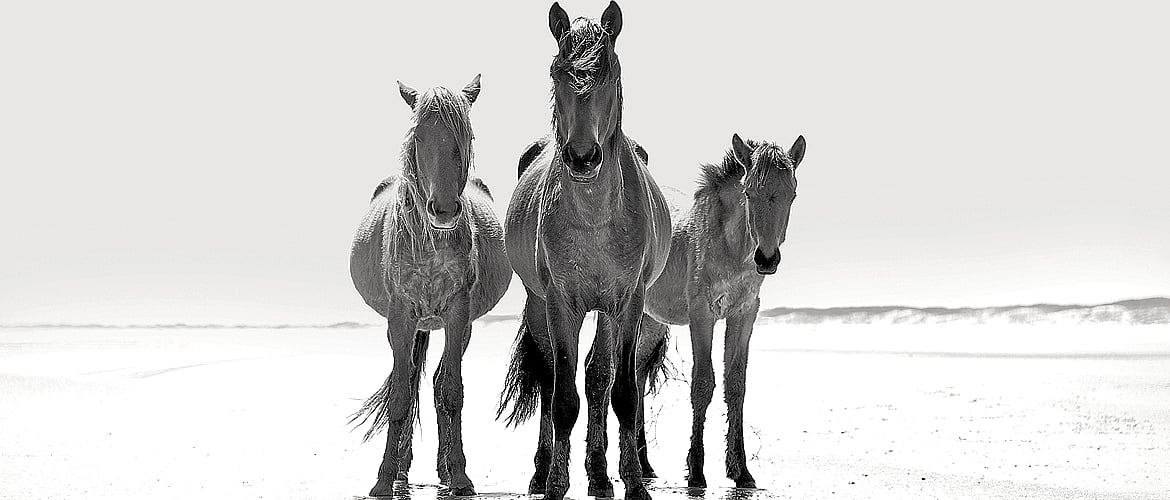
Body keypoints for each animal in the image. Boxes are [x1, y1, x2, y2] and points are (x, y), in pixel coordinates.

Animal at [348, 75, 511, 497]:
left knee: (437, 384)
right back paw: (403, 469)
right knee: (409, 381)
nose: (444, 209)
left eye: (465, 135)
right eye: (419, 136)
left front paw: (460, 476)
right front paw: (384, 478)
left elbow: (451, 391)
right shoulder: (401, 315)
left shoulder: (458, 312)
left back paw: (444, 468)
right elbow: (400, 395)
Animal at [497, 3, 671, 500]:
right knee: (549, 375)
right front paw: (556, 483)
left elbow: (620, 392)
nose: (582, 157)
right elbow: (561, 398)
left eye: (610, 71)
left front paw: (633, 483)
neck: (595, 216)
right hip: (538, 303)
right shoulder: (560, 302)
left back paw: (598, 473)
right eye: (557, 72)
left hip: (607, 313)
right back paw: (542, 471)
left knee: (597, 377)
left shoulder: (627, 303)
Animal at [636, 133, 807, 488]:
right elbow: (703, 383)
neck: (730, 246)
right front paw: (696, 469)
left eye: (792, 195)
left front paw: (741, 471)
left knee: (634, 375)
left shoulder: (743, 314)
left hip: (651, 322)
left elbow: (736, 384)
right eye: (748, 192)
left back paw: (643, 464)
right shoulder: (702, 315)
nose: (766, 259)